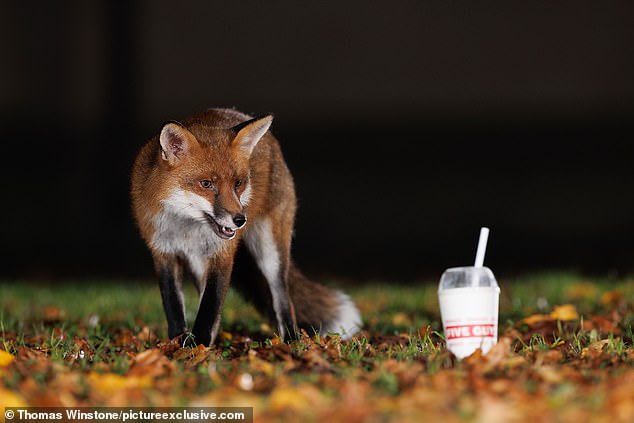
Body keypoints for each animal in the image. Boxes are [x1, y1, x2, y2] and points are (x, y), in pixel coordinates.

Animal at [130, 107, 360, 346]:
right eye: (206, 184)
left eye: (238, 183)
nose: (240, 220)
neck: (186, 228)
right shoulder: (163, 252)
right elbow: (175, 306)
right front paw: (179, 343)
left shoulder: (222, 254)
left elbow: (209, 308)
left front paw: (197, 346)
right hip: (198, 263)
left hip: (270, 251)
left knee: (282, 298)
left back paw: (292, 339)